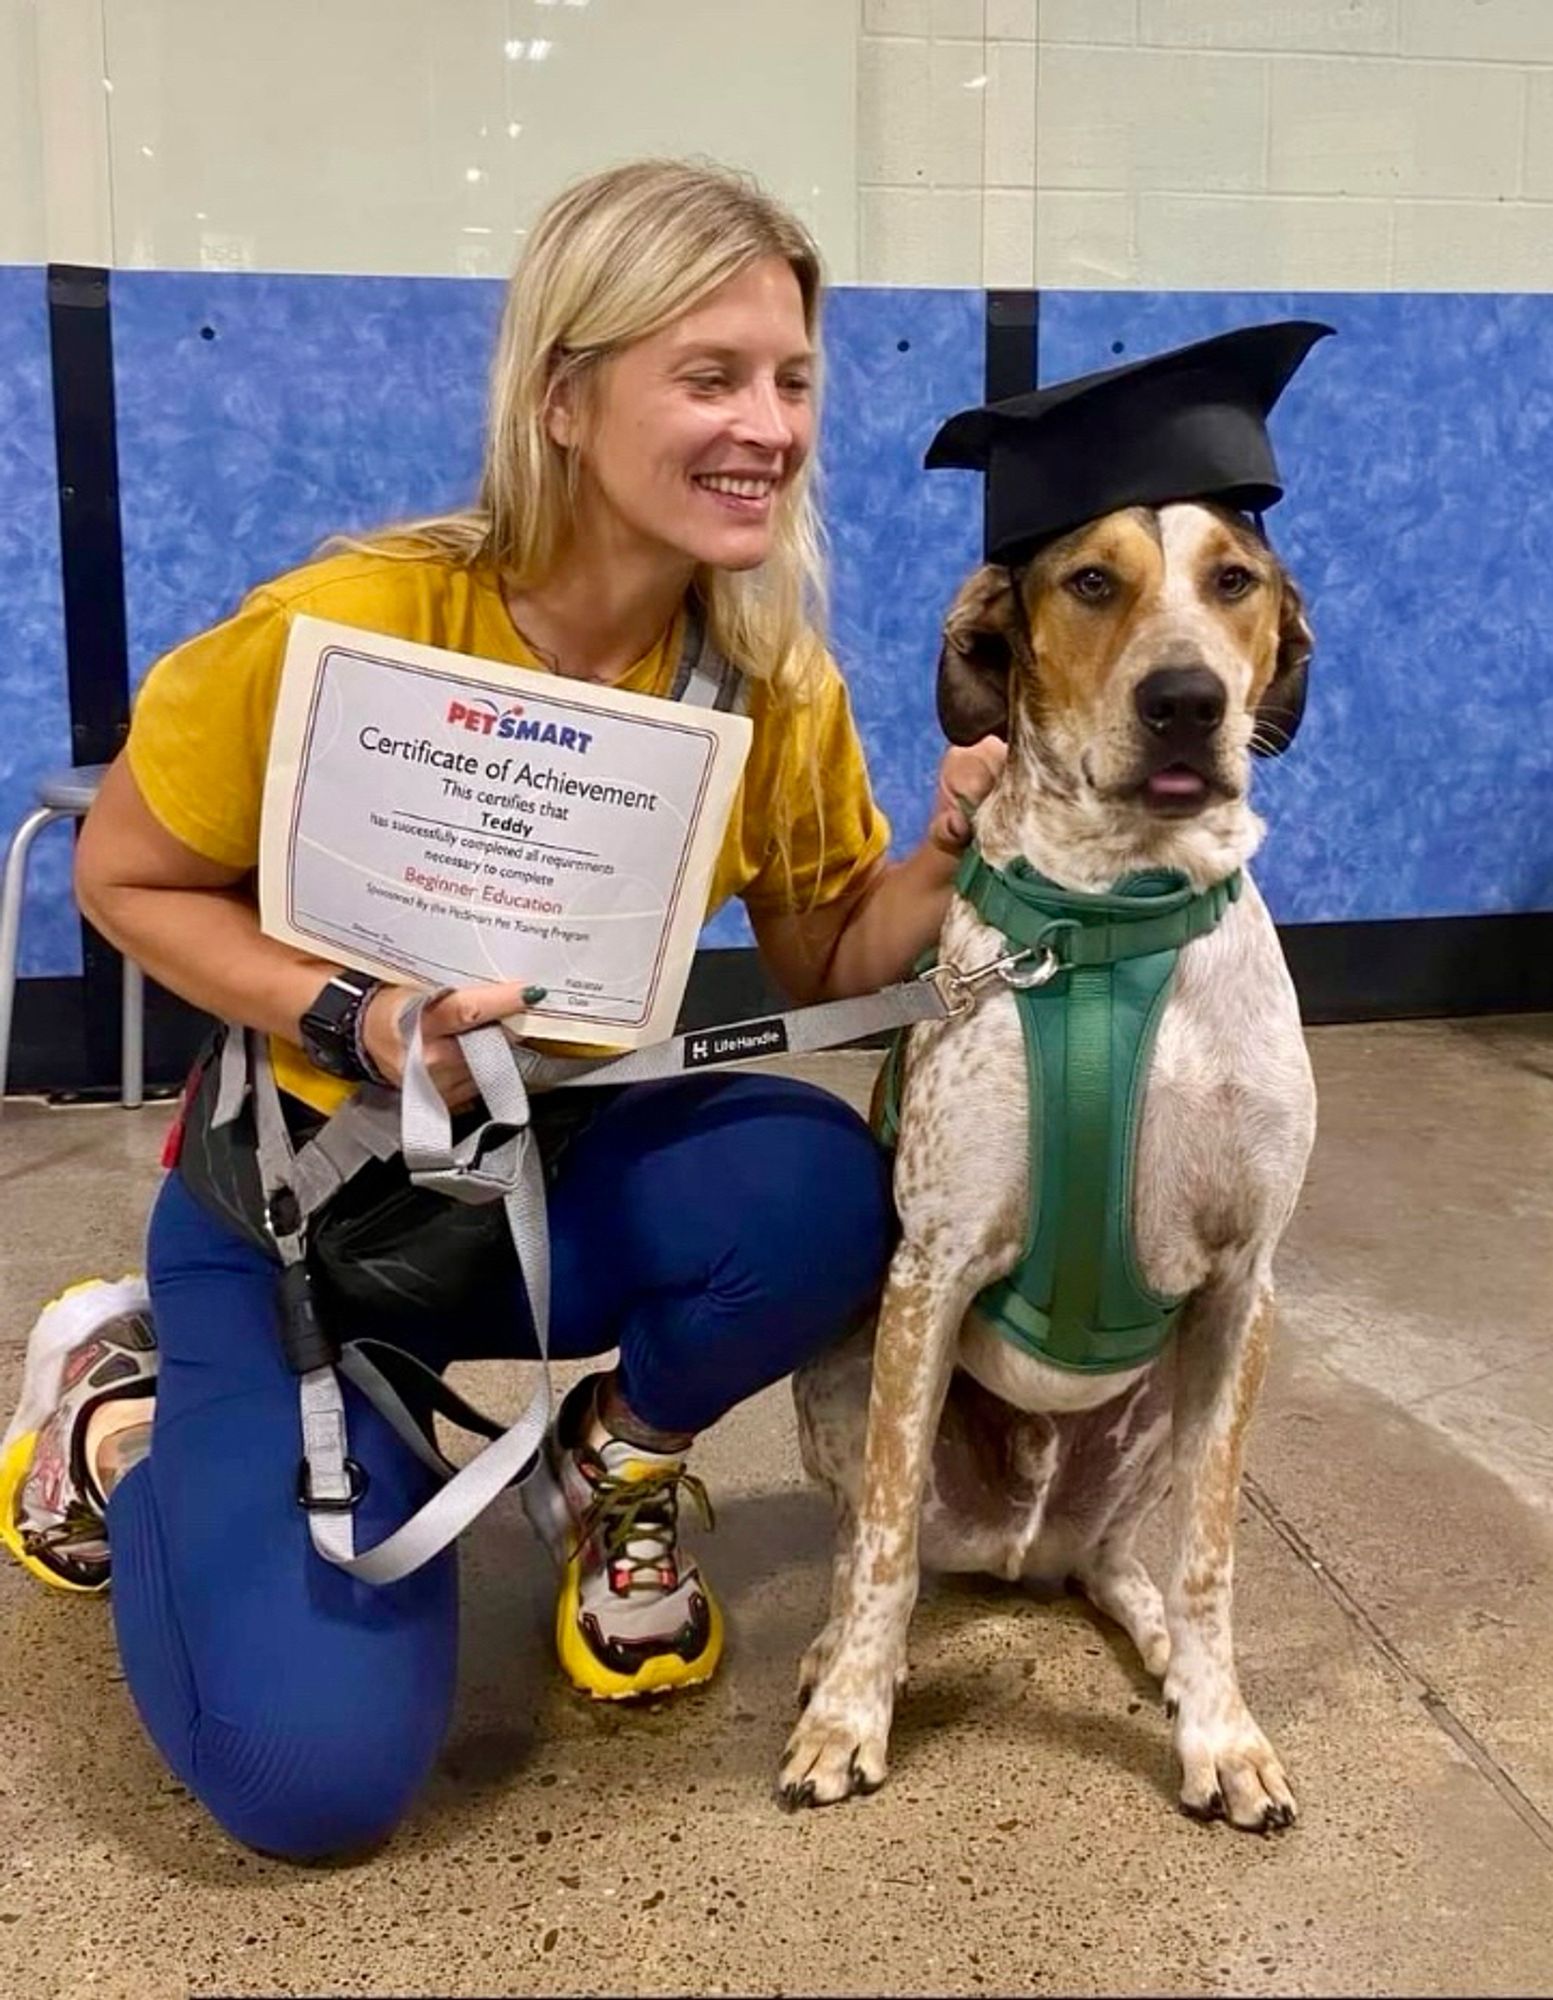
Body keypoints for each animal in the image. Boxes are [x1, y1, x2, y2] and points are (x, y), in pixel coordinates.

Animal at [784, 496, 1312, 1832]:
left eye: (1232, 580)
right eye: (1088, 581)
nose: (1185, 701)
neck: (1118, 910)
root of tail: (1023, 1543)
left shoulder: (1243, 1288)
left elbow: (1210, 1557)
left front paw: (1221, 1731)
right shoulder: (930, 1268)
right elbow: (879, 1548)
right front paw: (849, 1719)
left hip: (1156, 1416)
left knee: (1123, 1560)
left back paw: (1158, 1645)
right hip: (839, 1364)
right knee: (869, 1542)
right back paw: (837, 1651)